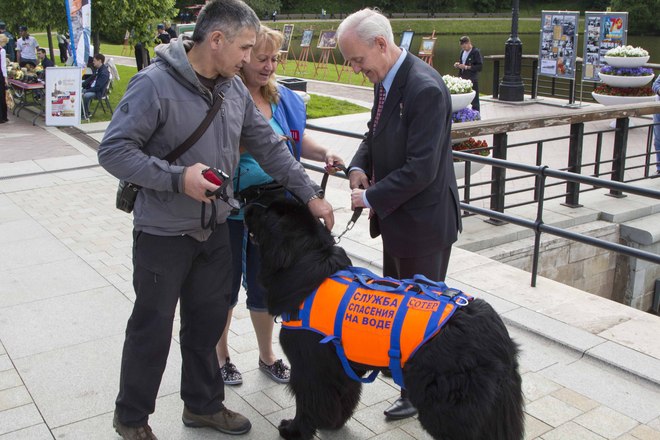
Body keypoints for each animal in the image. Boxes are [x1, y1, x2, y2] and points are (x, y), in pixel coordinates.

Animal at [244, 199, 524, 440]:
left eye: (266, 212)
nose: (246, 204)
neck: (304, 263)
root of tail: (498, 335)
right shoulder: (339, 365)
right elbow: (339, 396)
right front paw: (332, 423)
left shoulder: (308, 365)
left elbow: (307, 401)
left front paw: (294, 430)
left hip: (449, 406)